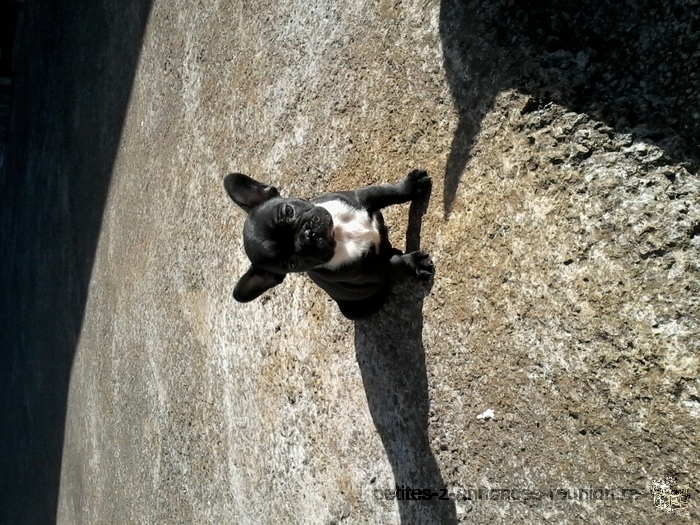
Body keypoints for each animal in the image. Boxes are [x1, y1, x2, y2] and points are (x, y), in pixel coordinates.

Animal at [224, 170, 432, 318]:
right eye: (292, 263)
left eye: (288, 211)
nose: (307, 235)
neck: (338, 234)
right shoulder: (373, 269)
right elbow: (396, 263)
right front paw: (415, 263)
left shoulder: (361, 197)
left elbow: (385, 192)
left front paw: (412, 185)